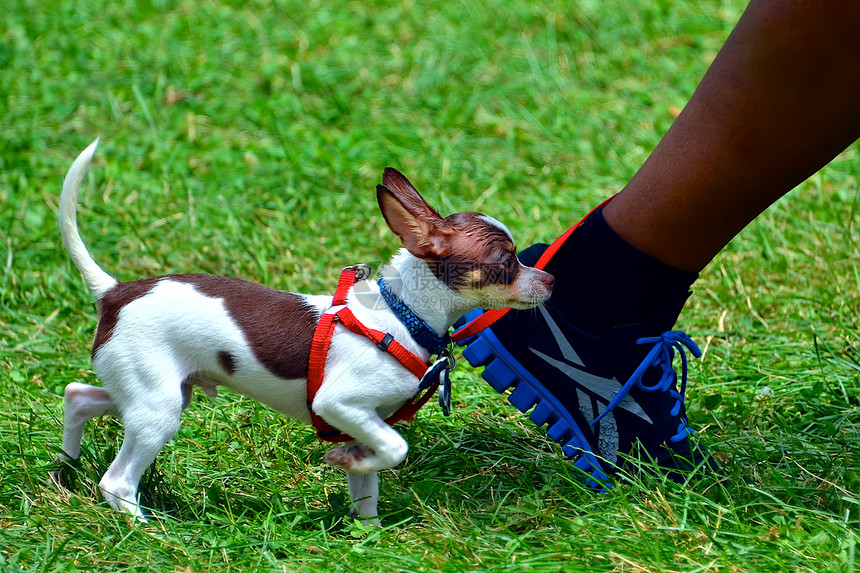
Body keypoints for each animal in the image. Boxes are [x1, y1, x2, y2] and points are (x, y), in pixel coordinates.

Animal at [55, 140, 552, 524]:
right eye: (507, 262)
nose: (550, 279)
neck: (401, 315)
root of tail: (115, 292)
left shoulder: (363, 420)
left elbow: (368, 486)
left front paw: (369, 533)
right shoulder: (338, 404)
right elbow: (396, 448)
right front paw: (345, 464)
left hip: (155, 391)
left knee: (78, 396)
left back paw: (66, 465)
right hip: (157, 408)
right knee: (117, 482)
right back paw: (149, 526)